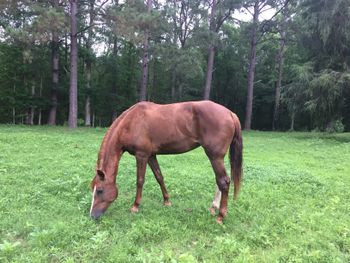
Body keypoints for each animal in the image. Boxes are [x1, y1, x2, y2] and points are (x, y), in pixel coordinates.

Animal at [90, 101, 242, 225]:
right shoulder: (151, 155)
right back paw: (213, 208)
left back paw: (220, 216)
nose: (92, 216)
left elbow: (140, 180)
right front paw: (167, 201)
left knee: (223, 181)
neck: (131, 122)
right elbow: (159, 177)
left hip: (215, 156)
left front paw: (135, 206)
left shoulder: (142, 155)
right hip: (218, 157)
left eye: (100, 190)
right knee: (220, 181)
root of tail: (230, 113)